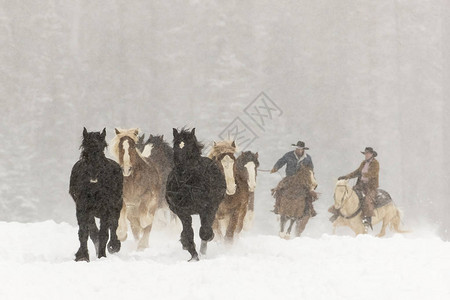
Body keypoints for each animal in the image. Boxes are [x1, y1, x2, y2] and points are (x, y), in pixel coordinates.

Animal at [68, 127, 123, 262]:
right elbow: (84, 232)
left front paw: (102, 255)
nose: (93, 175)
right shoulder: (82, 207)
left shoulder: (105, 209)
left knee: (113, 226)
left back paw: (114, 245)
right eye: (85, 147)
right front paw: (82, 256)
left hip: (116, 206)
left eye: (102, 147)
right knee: (93, 231)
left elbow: (104, 233)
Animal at [166, 127, 227, 262]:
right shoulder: (182, 211)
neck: (188, 183)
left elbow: (204, 231)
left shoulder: (207, 208)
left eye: (189, 147)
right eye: (175, 146)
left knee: (205, 228)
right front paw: (192, 253)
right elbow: (188, 232)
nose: (181, 169)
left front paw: (202, 248)